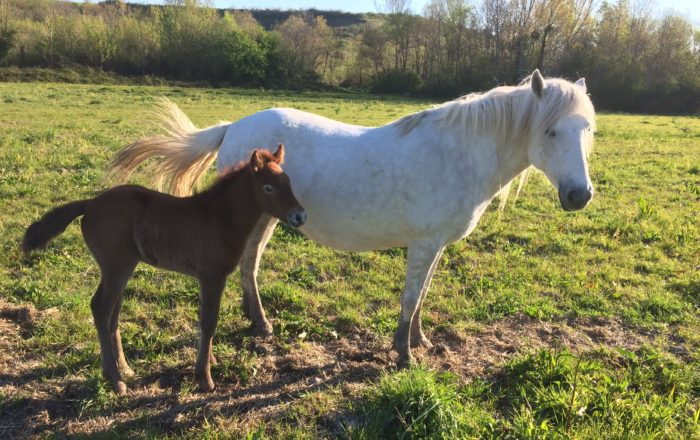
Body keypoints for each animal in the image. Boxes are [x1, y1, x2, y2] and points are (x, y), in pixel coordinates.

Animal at [23, 145, 304, 396]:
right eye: (269, 187)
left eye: (289, 181)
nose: (300, 216)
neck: (219, 218)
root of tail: (91, 204)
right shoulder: (211, 276)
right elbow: (209, 321)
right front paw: (205, 378)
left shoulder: (209, 278)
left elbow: (207, 321)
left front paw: (209, 362)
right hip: (117, 266)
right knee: (101, 308)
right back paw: (116, 381)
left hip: (120, 268)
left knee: (112, 313)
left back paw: (123, 369)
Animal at [110, 70, 596, 366]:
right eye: (550, 130)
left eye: (587, 129)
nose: (579, 195)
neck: (458, 153)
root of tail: (234, 126)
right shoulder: (423, 244)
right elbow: (409, 299)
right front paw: (404, 356)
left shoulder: (435, 244)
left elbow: (421, 296)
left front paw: (419, 341)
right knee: (248, 264)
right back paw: (261, 322)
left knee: (250, 264)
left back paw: (256, 322)